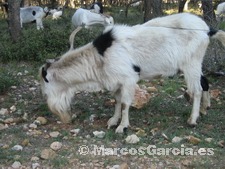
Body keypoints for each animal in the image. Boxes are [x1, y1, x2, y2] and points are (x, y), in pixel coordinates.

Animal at [39, 12, 225, 133]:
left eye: (46, 86)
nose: (62, 117)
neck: (99, 56)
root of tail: (208, 30)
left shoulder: (128, 79)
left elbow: (125, 103)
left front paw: (122, 126)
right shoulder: (116, 81)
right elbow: (116, 100)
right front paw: (113, 121)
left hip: (191, 64)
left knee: (197, 90)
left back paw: (193, 120)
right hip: (195, 64)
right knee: (204, 82)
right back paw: (204, 109)